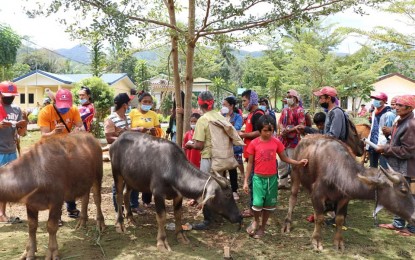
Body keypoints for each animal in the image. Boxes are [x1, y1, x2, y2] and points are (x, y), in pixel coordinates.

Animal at [109, 133, 244, 251]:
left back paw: (130, 218)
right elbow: (161, 217)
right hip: (117, 174)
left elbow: (178, 214)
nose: (240, 216)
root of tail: (116, 141)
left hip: (131, 179)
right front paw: (162, 242)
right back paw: (120, 223)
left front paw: (181, 235)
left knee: (126, 194)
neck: (173, 170)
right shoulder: (158, 194)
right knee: (119, 195)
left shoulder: (178, 196)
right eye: (227, 195)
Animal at [282, 134, 415, 250]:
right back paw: (287, 223)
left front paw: (339, 242)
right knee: (293, 198)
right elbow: (319, 218)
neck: (338, 171)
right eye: (403, 190)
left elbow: (339, 219)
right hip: (295, 173)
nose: (414, 216)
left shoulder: (344, 198)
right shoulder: (317, 194)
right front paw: (316, 241)